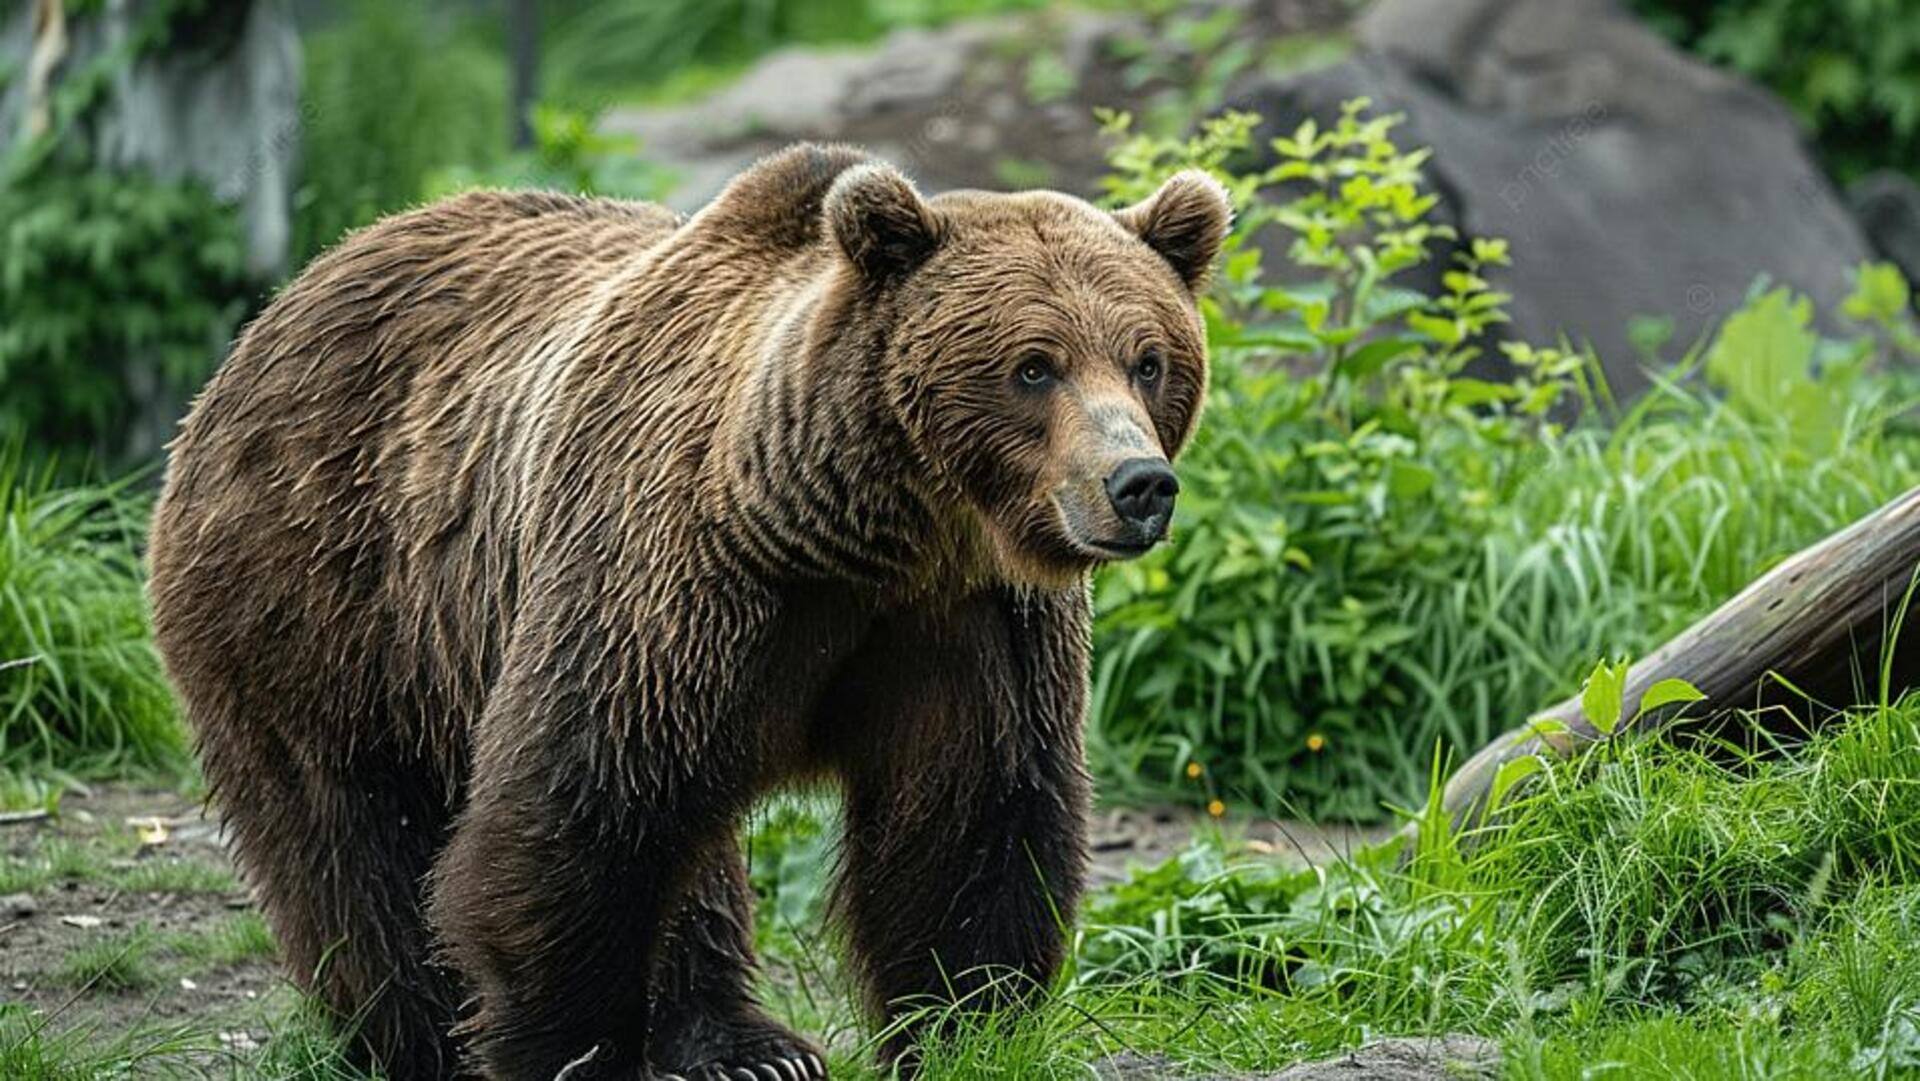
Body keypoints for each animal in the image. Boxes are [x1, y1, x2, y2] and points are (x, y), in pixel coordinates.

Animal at [145, 145, 1228, 1081]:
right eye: (1034, 365)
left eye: (1148, 359)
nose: (1138, 484)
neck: (872, 529)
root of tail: (293, 293)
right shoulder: (676, 581)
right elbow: (588, 801)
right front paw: (564, 1049)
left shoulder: (966, 622)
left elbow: (973, 821)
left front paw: (968, 1030)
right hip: (321, 594)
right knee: (350, 834)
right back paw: (421, 1038)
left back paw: (745, 1045)